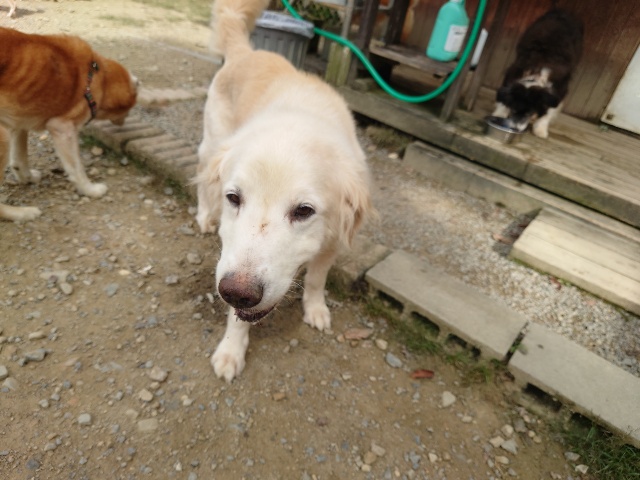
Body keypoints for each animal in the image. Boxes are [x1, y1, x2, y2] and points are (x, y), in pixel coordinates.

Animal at [0, 27, 138, 221]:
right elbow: (77, 169)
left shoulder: (18, 121)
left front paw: (27, 178)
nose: (125, 120)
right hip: (2, 138)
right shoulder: (63, 128)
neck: (97, 76)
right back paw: (22, 213)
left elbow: (19, 159)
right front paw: (90, 190)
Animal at [196, 0, 374, 382]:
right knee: (202, 179)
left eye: (304, 211)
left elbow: (317, 279)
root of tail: (246, 52)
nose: (237, 293)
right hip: (212, 143)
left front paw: (316, 309)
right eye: (234, 199)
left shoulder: (332, 240)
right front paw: (231, 351)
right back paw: (204, 215)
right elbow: (237, 320)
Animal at [492, 9, 583, 138]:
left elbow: (550, 109)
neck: (538, 75)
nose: (515, 128)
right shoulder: (514, 71)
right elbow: (504, 96)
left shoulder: (560, 88)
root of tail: (562, 11)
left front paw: (540, 129)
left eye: (529, 113)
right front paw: (499, 114)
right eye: (514, 110)